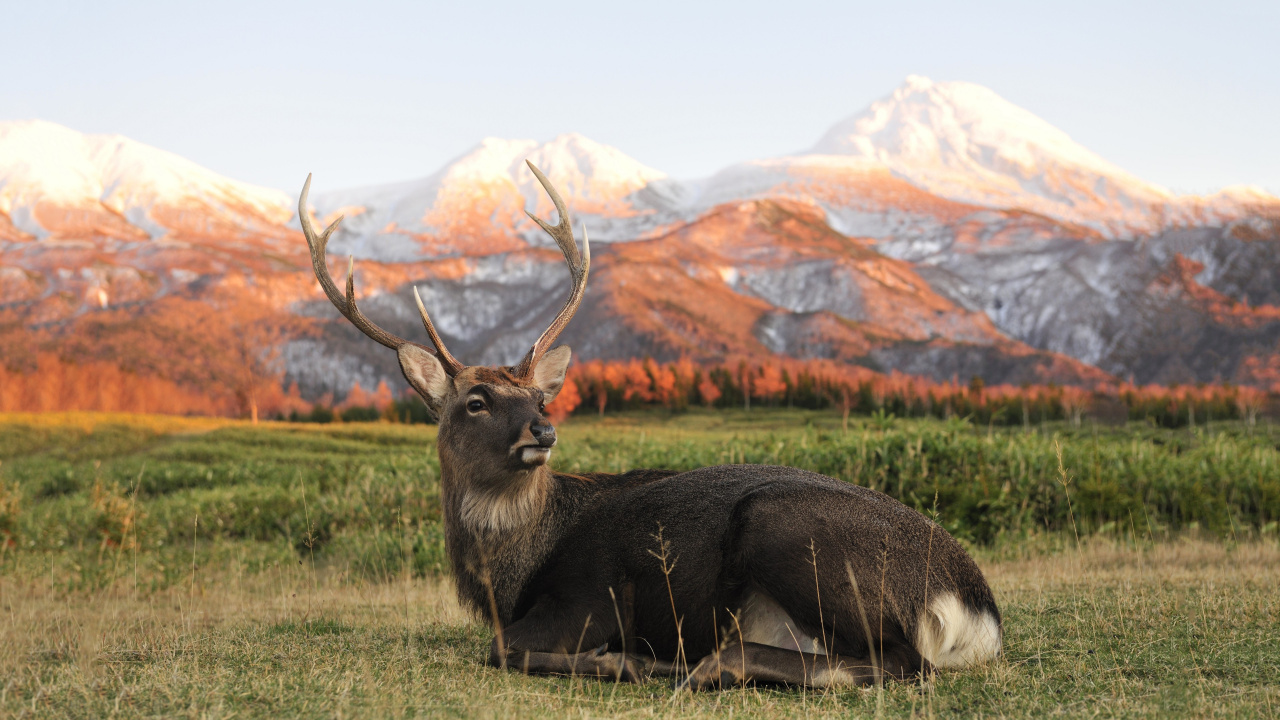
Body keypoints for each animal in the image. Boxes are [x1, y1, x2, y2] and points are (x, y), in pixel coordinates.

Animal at [298, 163, 1002, 689]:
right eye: (475, 401)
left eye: (540, 398)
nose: (541, 433)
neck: (509, 576)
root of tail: (975, 609)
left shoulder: (588, 596)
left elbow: (500, 649)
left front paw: (623, 660)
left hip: (787, 531)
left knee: (901, 662)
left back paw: (695, 664)